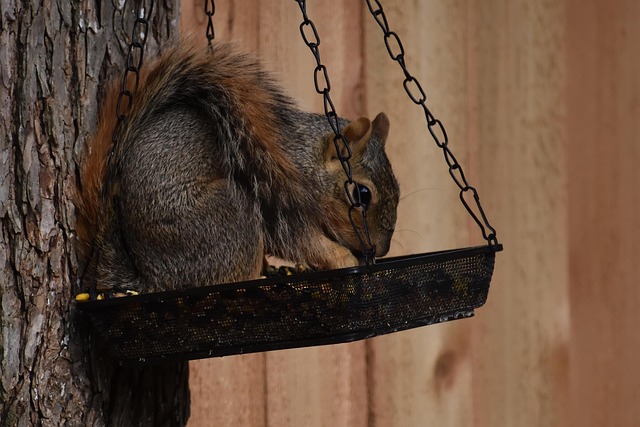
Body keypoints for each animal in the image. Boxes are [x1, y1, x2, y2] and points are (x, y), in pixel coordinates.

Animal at [75, 42, 399, 293]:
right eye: (362, 194)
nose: (381, 250)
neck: (303, 160)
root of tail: (152, 280)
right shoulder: (277, 201)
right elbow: (306, 243)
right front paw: (343, 258)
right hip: (228, 217)